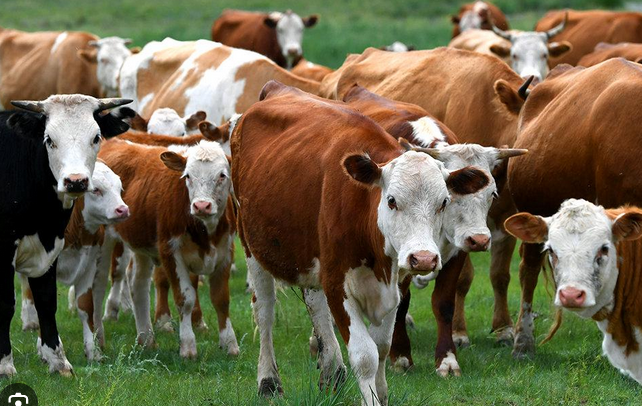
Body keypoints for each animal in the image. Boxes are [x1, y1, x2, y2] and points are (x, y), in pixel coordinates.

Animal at [19, 162, 130, 360]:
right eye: (96, 190)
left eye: (120, 189)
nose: (122, 209)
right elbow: (44, 306)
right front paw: (46, 350)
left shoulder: (90, 264)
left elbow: (86, 306)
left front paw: (93, 351)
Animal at [98, 139, 239, 358]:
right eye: (187, 176)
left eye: (222, 175)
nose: (201, 206)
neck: (205, 232)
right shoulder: (170, 253)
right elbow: (185, 298)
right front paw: (188, 347)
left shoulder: (225, 252)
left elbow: (221, 299)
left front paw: (230, 344)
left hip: (141, 246)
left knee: (138, 285)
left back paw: (147, 339)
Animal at [233, 81, 490, 404]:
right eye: (391, 200)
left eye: (444, 202)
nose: (423, 258)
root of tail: (277, 87)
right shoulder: (337, 283)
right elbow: (365, 354)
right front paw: (371, 397)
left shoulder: (394, 283)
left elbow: (381, 346)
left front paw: (382, 392)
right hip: (251, 246)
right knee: (265, 312)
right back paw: (268, 381)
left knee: (315, 305)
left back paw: (331, 371)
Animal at [319, 46, 532, 349]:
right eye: (449, 198)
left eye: (492, 193)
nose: (479, 240)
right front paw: (454, 334)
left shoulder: (483, 233)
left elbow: (482, 282)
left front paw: (494, 330)